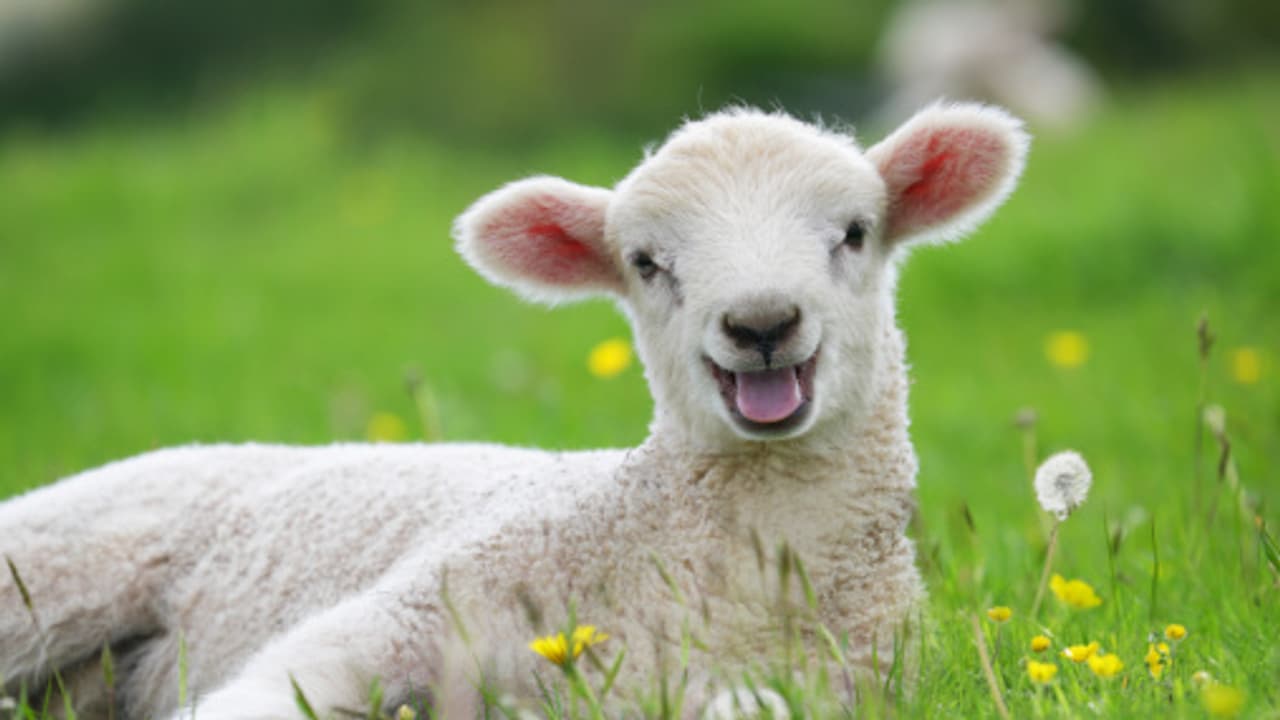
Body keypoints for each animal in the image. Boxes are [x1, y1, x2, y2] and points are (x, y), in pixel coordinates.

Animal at [0, 101, 1028, 719]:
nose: (762, 323)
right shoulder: (415, 606)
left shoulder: (834, 679)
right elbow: (267, 692)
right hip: (52, 573)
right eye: (646, 263)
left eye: (854, 233)